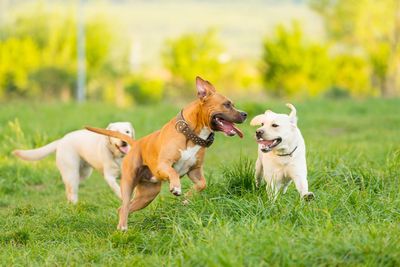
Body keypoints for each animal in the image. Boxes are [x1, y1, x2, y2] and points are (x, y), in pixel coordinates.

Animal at [86, 76, 247, 231]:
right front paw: (176, 187)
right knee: (125, 204)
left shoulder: (195, 171)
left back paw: (122, 226)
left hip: (147, 195)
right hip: (128, 183)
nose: (244, 114)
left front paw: (187, 199)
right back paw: (123, 227)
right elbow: (173, 172)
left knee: (122, 208)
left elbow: (202, 184)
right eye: (227, 104)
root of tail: (136, 143)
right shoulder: (163, 165)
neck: (190, 134)